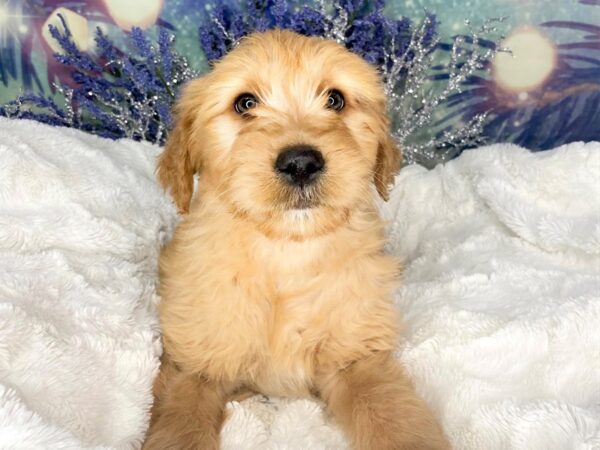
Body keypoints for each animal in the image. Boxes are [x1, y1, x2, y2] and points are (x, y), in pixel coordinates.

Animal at [143, 29, 448, 450]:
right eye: (245, 103)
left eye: (335, 99)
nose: (301, 163)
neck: (286, 253)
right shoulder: (194, 365)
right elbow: (180, 426)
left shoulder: (356, 354)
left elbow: (392, 416)